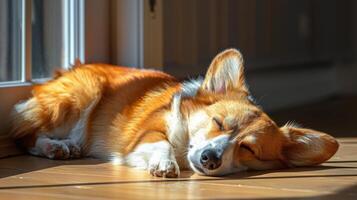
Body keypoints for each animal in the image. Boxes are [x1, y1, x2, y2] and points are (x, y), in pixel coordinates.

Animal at [9, 49, 338, 177]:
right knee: (24, 135)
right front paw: (165, 164)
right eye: (218, 122)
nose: (210, 158)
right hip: (80, 95)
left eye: (249, 149)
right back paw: (55, 147)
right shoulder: (148, 133)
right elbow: (161, 142)